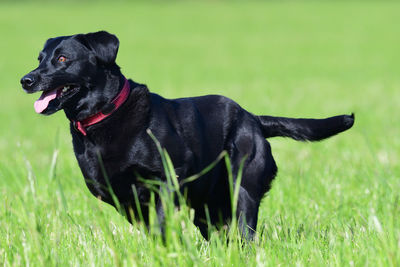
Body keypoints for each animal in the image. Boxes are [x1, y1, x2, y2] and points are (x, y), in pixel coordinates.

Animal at [21, 31, 354, 241]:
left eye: (62, 59)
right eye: (39, 59)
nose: (26, 80)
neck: (105, 117)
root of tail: (253, 119)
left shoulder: (168, 179)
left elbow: (161, 224)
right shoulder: (122, 199)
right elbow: (153, 231)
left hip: (242, 187)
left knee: (246, 234)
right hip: (208, 206)